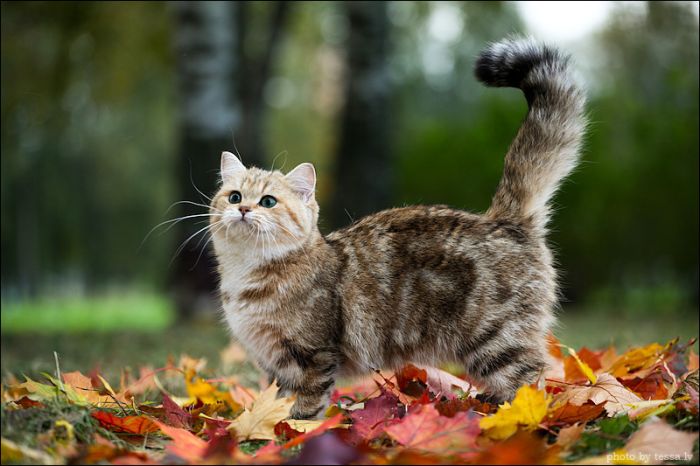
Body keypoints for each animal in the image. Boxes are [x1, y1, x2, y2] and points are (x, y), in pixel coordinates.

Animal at [209, 38, 584, 420]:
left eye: (268, 201)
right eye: (234, 196)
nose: (243, 209)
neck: (247, 274)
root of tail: (503, 218)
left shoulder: (313, 357)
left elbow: (305, 407)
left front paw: (295, 429)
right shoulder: (275, 366)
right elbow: (276, 400)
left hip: (497, 340)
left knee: (533, 379)